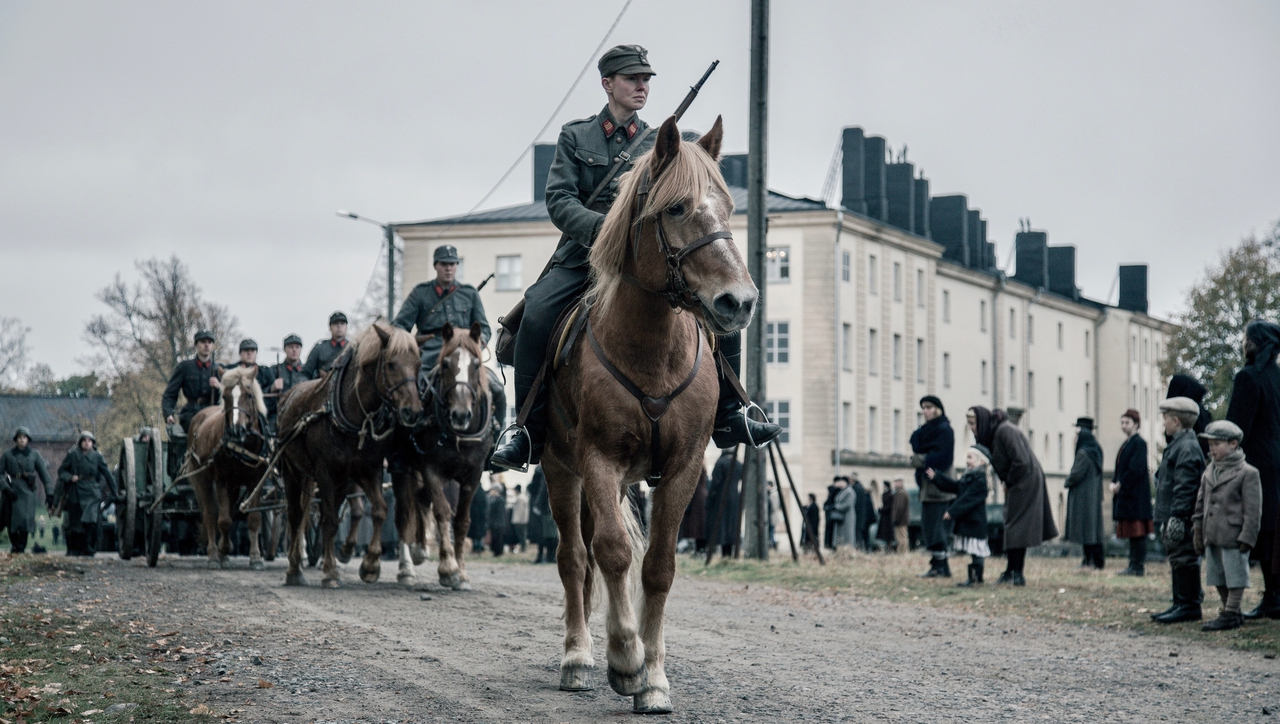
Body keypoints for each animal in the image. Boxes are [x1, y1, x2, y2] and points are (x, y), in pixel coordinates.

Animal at [186, 368, 270, 573]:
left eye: (249, 395)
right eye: (225, 396)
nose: (236, 431)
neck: (243, 446)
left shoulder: (256, 481)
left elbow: (253, 518)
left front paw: (256, 558)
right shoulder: (221, 481)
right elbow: (223, 520)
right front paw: (223, 549)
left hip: (234, 485)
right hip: (202, 478)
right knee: (210, 514)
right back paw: (214, 554)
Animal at [279, 323, 419, 590]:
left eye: (418, 363)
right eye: (390, 364)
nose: (412, 411)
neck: (353, 415)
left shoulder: (368, 470)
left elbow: (379, 510)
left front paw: (370, 566)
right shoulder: (325, 472)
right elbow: (330, 521)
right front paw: (330, 572)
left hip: (336, 481)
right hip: (292, 472)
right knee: (295, 516)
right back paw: (293, 568)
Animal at [391, 322, 491, 590]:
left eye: (475, 364)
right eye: (446, 364)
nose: (461, 414)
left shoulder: (472, 475)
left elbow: (462, 520)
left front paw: (462, 572)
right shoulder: (431, 470)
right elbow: (443, 512)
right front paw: (448, 568)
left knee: (421, 500)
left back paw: (420, 550)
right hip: (402, 469)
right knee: (405, 512)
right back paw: (406, 567)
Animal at [542, 117, 752, 716]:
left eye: (729, 206)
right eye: (677, 208)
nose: (739, 302)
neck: (653, 349)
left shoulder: (684, 468)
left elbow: (657, 566)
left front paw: (654, 679)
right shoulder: (598, 459)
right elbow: (612, 552)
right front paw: (626, 660)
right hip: (560, 470)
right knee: (574, 557)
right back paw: (577, 656)